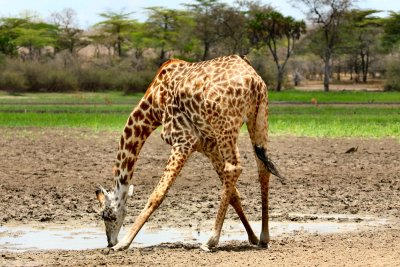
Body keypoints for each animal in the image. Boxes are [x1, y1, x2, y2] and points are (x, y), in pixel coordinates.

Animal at [95, 55, 282, 253]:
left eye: (106, 215)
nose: (110, 241)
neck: (154, 104)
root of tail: (254, 81)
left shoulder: (183, 140)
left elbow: (158, 193)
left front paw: (124, 243)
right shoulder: (208, 145)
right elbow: (234, 195)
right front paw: (252, 237)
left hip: (226, 126)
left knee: (234, 168)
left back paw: (210, 241)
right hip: (259, 117)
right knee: (262, 168)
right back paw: (264, 237)